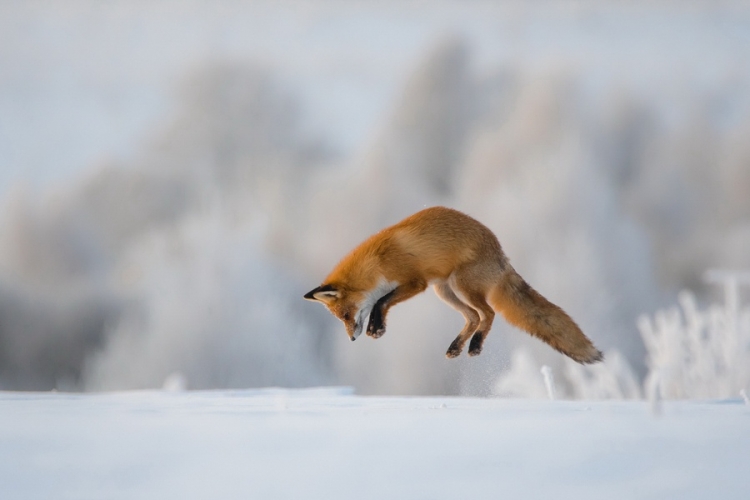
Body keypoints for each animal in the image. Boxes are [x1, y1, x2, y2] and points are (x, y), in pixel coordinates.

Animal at [302, 206, 604, 364]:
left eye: (345, 315)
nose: (351, 339)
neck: (377, 263)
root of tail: (502, 256)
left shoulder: (415, 283)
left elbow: (381, 301)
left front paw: (376, 327)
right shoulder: (414, 286)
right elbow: (381, 301)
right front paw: (378, 327)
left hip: (460, 285)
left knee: (488, 313)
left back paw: (476, 345)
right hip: (445, 291)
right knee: (473, 317)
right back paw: (457, 347)